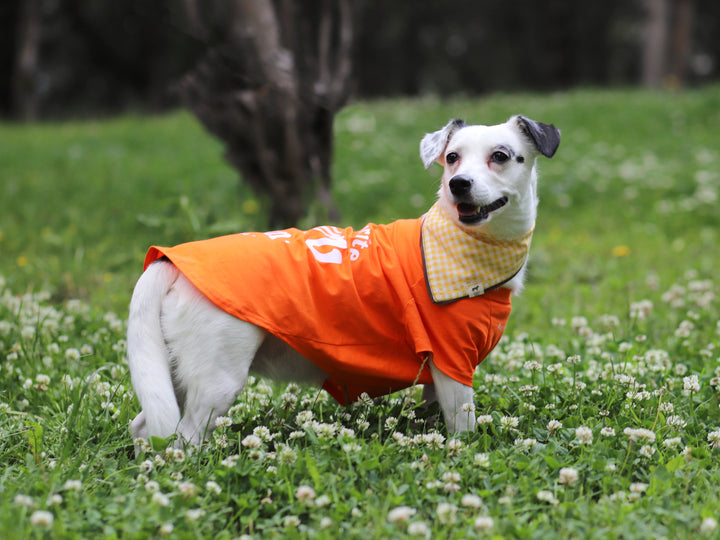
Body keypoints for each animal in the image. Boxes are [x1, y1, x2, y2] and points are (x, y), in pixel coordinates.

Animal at [126, 116, 560, 450]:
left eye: (500, 156)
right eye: (452, 158)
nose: (459, 184)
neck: (468, 247)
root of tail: (170, 261)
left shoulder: (438, 377)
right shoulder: (452, 361)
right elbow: (463, 429)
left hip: (175, 369)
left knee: (146, 427)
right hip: (217, 377)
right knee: (184, 438)